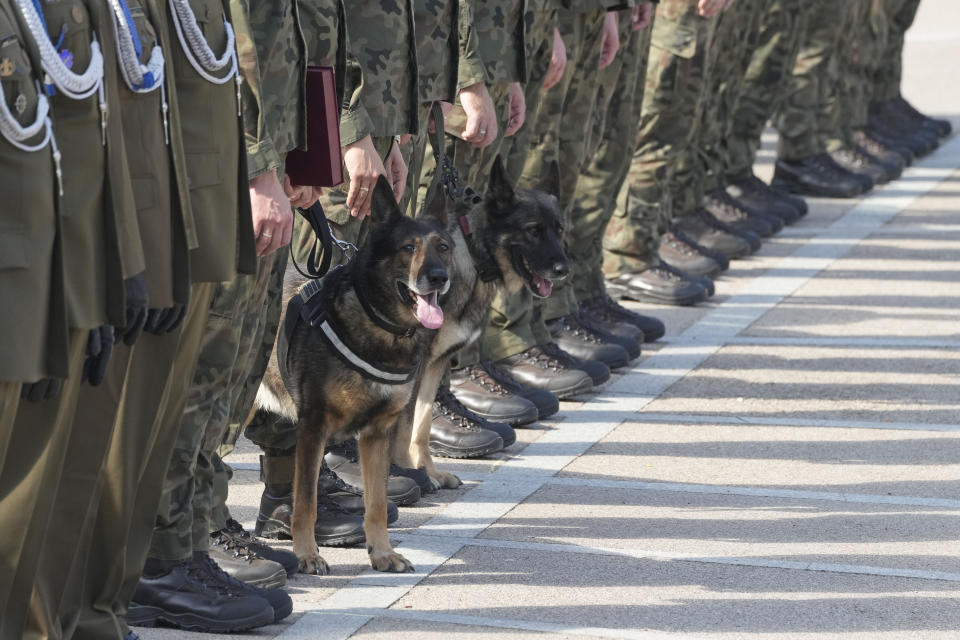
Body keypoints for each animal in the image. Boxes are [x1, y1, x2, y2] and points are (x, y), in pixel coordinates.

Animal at [258, 176, 454, 576]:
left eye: (442, 247)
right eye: (408, 248)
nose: (439, 278)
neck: (378, 321)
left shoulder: (377, 434)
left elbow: (376, 504)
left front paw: (381, 552)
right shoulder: (313, 428)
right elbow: (306, 502)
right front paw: (307, 553)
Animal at [396, 158, 572, 492]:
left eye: (559, 229)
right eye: (533, 231)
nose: (563, 270)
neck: (472, 256)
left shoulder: (435, 365)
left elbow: (421, 424)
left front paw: (427, 470)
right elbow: (403, 423)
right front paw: (403, 475)